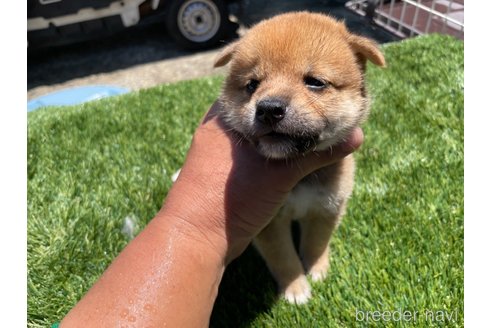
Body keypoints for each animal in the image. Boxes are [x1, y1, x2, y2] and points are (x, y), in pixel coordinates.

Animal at [214, 12, 384, 304]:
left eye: (315, 81)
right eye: (251, 85)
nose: (269, 109)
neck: (302, 178)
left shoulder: (327, 208)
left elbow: (317, 243)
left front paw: (317, 270)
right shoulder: (269, 224)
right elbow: (283, 258)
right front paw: (296, 288)